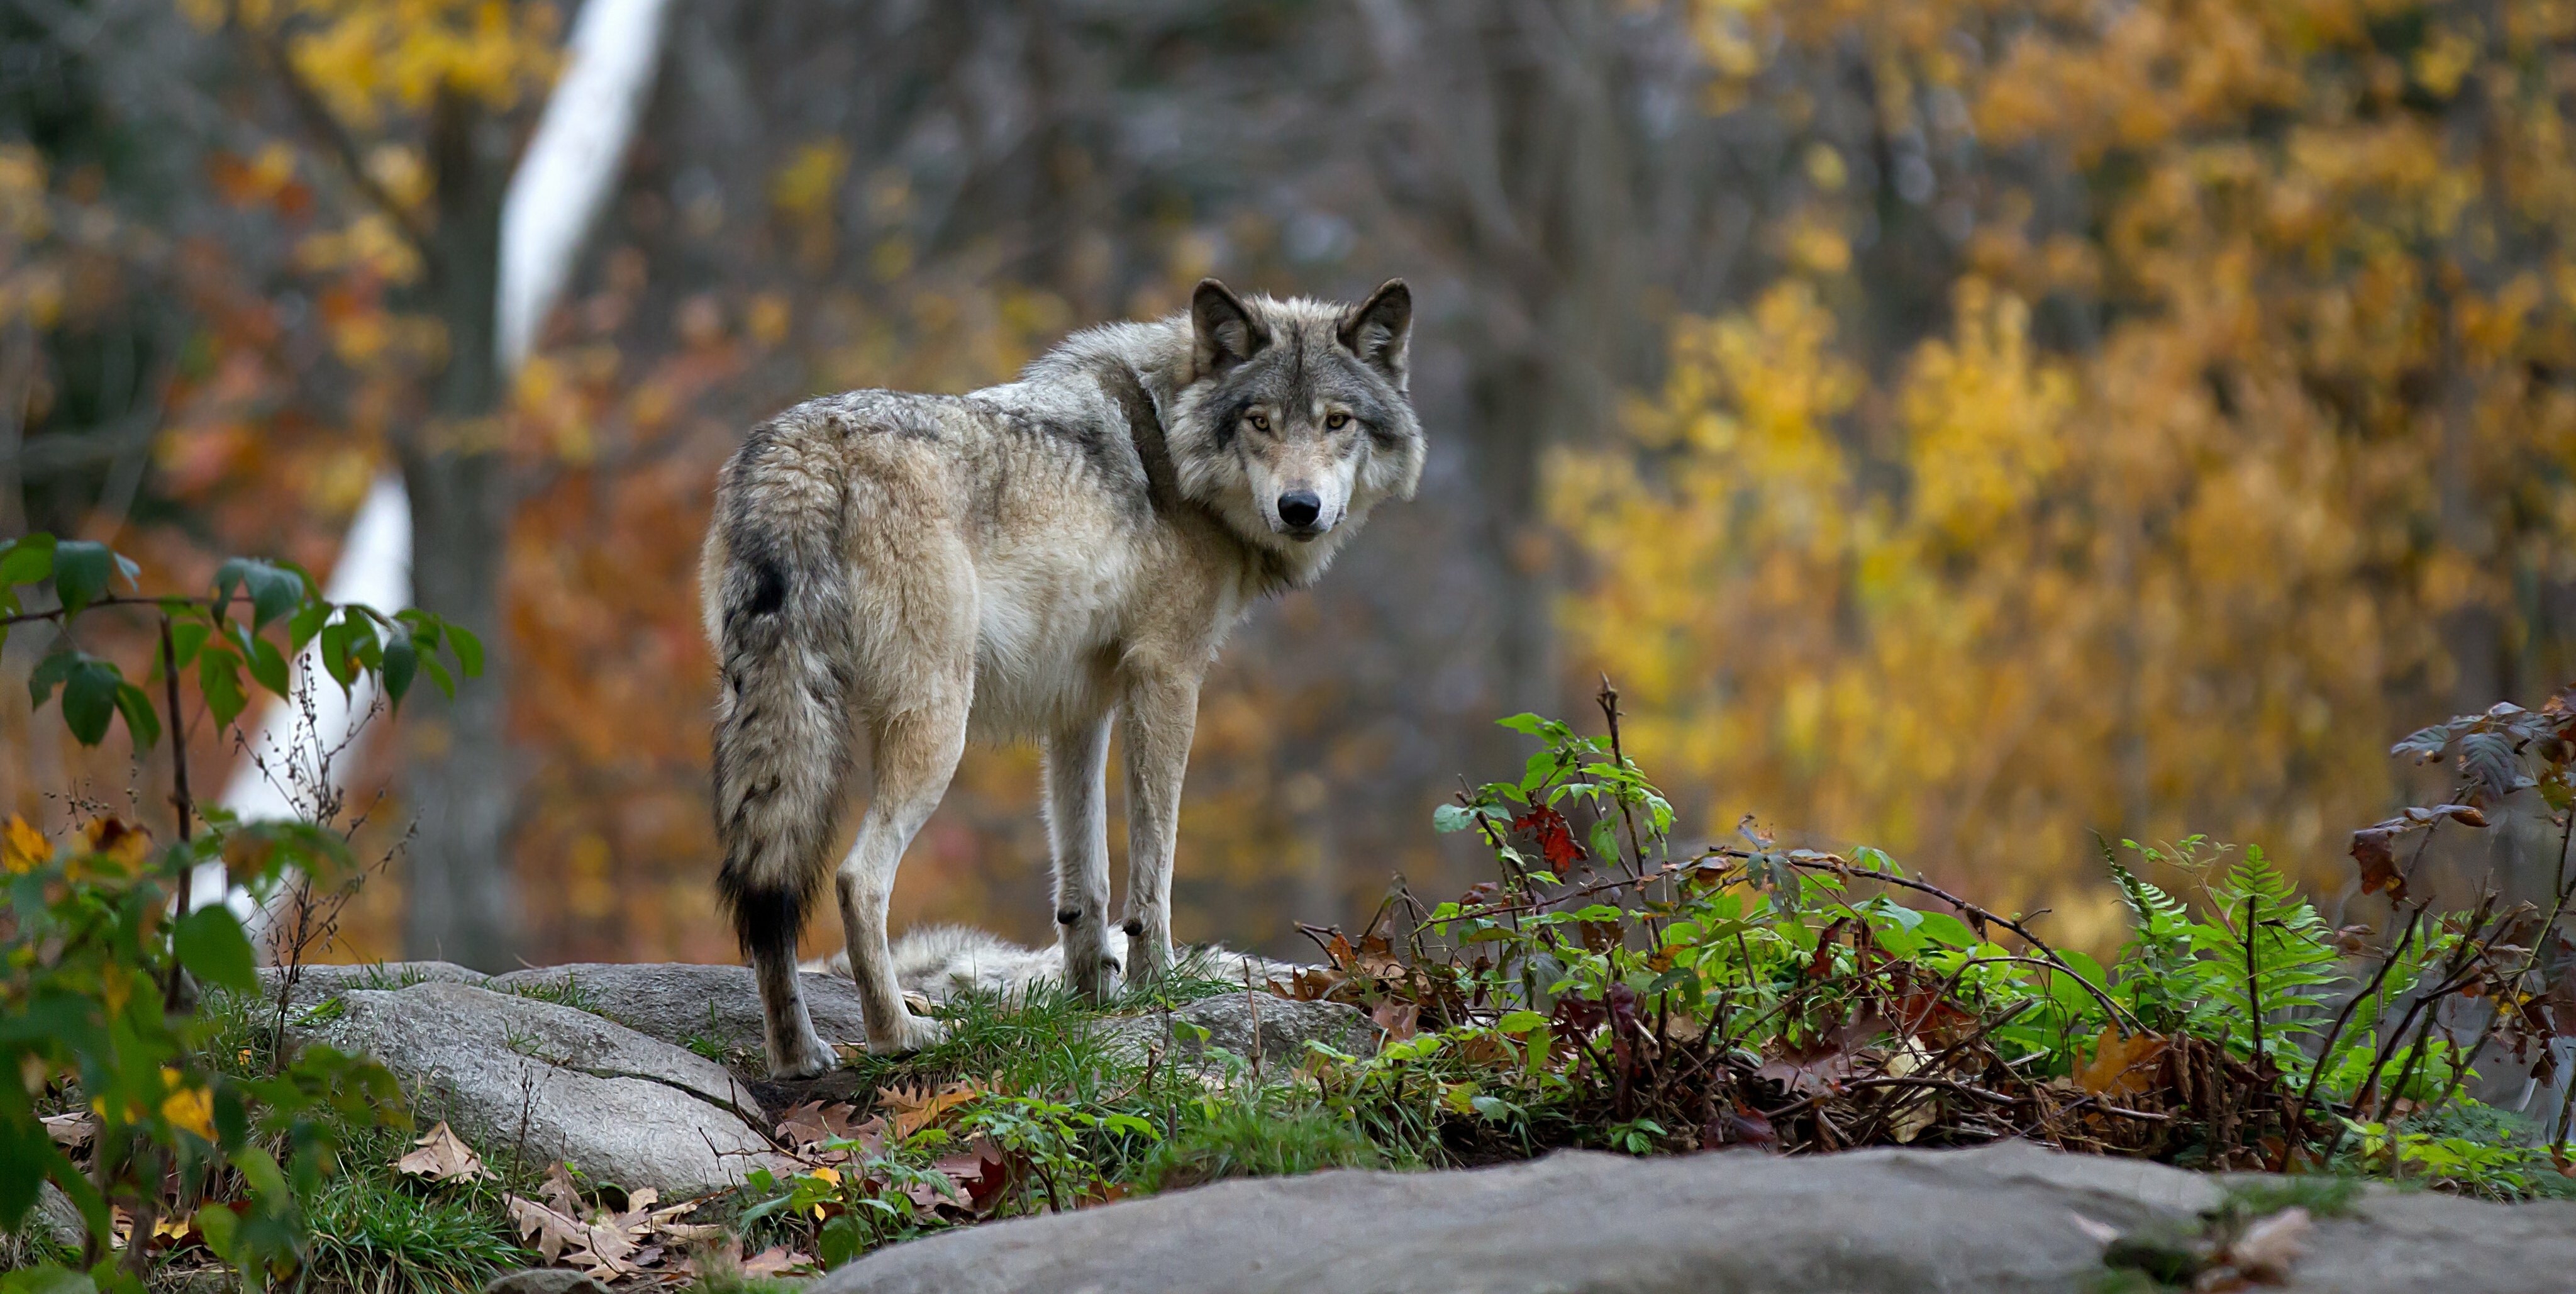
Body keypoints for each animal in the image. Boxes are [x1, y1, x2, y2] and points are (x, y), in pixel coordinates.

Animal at [703, 277, 1423, 1077]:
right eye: (1259, 421)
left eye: (1336, 421)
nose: (1300, 508)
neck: (1170, 444)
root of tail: (801, 448)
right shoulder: (1167, 678)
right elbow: (1154, 866)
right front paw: (1156, 985)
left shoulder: (1079, 707)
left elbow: (1086, 878)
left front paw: (1092, 998)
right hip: (936, 726)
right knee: (858, 878)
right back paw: (900, 1034)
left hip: (775, 715)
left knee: (768, 887)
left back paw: (798, 1055)